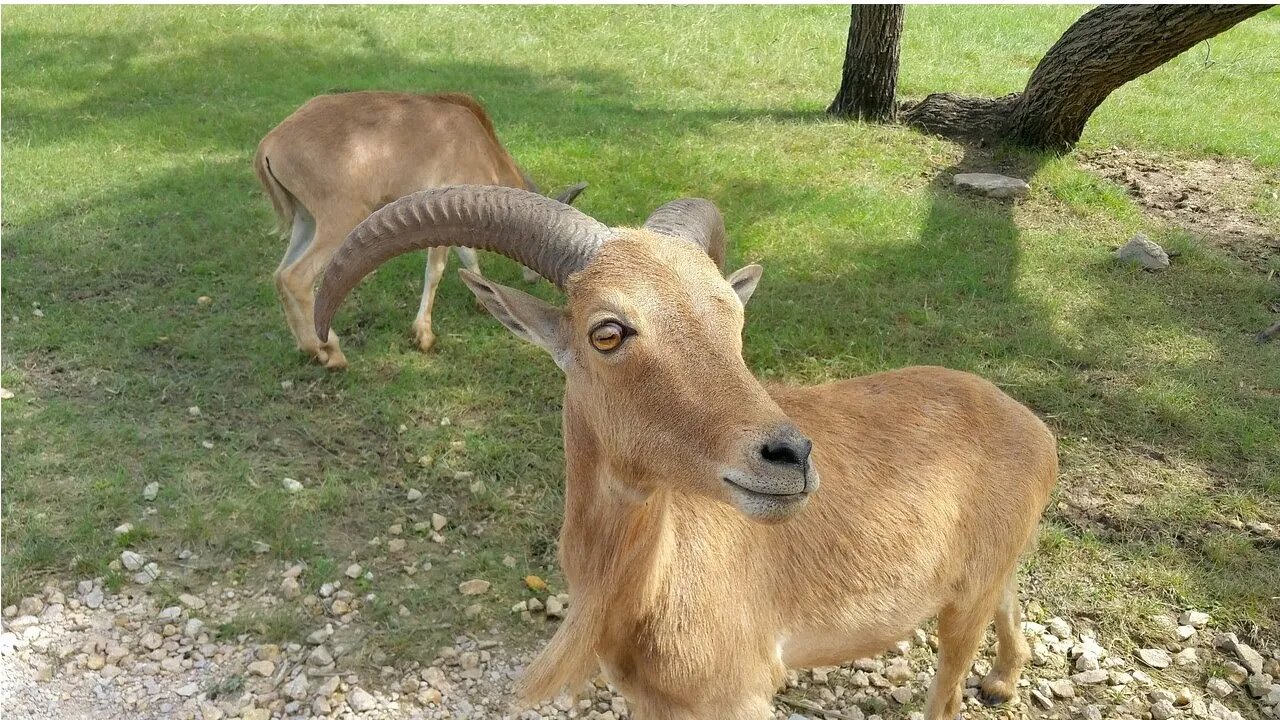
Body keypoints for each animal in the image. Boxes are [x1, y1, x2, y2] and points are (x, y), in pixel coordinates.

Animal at [253, 91, 586, 368]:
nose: (532, 277)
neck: (479, 143)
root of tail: (268, 146)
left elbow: (468, 256)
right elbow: (436, 270)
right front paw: (424, 336)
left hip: (306, 218)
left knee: (280, 274)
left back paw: (309, 348)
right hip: (340, 217)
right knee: (297, 276)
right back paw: (330, 352)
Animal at [313, 187, 1059, 720]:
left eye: (734, 315)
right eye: (607, 331)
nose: (789, 458)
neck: (644, 591)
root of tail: (1035, 430)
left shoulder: (738, 697)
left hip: (961, 606)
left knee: (950, 686)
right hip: (987, 574)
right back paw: (1003, 680)